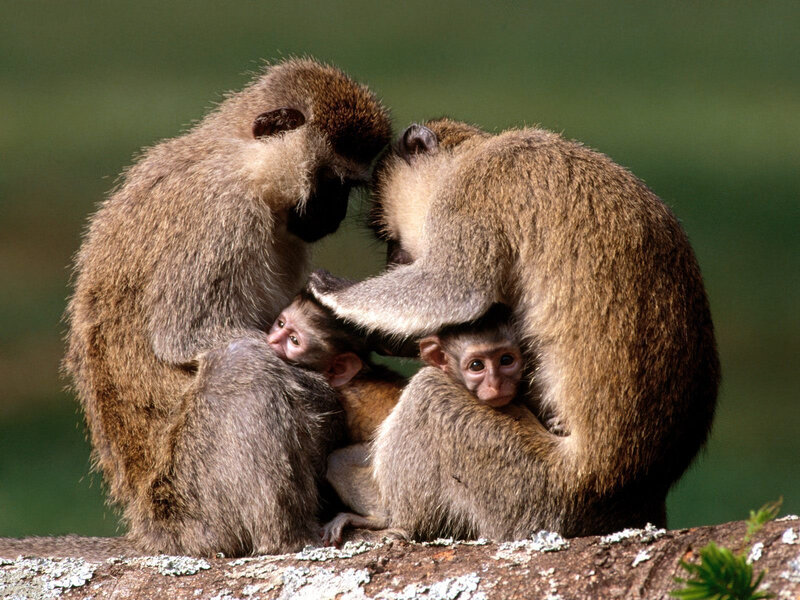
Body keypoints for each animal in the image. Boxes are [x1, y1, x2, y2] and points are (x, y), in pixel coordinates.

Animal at [62, 58, 392, 557]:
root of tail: (152, 527)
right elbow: (185, 335)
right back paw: (288, 537)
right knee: (244, 363)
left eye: (347, 188)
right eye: (332, 183)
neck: (243, 162)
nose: (333, 216)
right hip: (194, 502)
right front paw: (321, 388)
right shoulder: (224, 215)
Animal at [309, 117, 720, 540]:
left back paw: (392, 519)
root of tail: (629, 496)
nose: (394, 262)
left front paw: (333, 293)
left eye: (389, 238)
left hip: (529, 491)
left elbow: (452, 288)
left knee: (430, 394)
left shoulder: (472, 196)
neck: (474, 154)